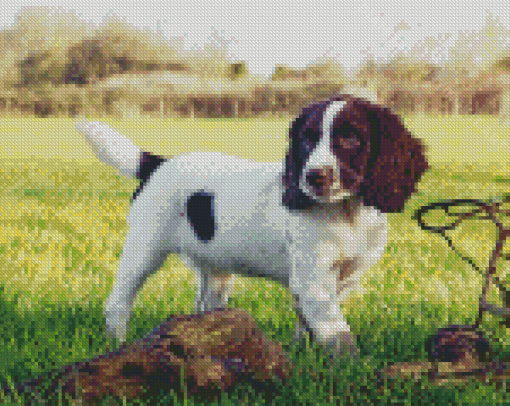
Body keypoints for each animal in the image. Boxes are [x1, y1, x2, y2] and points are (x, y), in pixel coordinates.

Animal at [74, 94, 426, 358]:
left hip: (215, 271)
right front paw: (352, 369)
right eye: (306, 141)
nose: (313, 177)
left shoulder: (343, 280)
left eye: (351, 138)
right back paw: (118, 347)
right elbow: (338, 333)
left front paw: (304, 355)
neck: (347, 213)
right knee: (118, 302)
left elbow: (310, 324)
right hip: (144, 249)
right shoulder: (313, 281)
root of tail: (158, 163)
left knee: (205, 307)